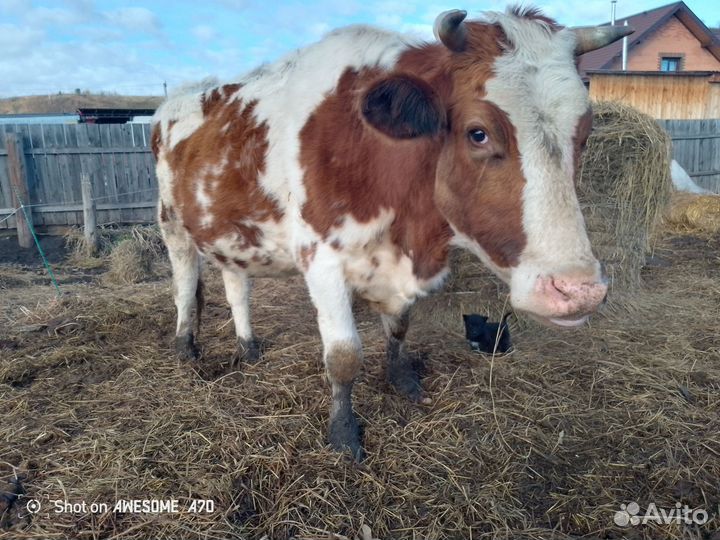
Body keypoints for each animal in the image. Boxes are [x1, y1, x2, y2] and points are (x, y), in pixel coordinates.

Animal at [151, 7, 631, 460]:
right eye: (477, 132)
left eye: (584, 133)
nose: (577, 290)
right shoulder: (321, 261)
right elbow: (344, 357)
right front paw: (344, 434)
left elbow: (399, 329)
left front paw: (403, 380)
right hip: (172, 223)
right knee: (184, 285)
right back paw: (185, 345)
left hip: (229, 233)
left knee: (237, 287)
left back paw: (248, 346)